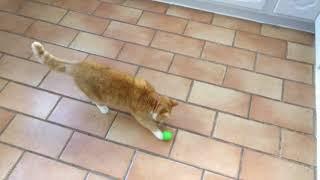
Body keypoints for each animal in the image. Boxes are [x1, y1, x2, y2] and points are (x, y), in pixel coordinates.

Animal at [31, 42, 178, 141]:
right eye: (162, 121)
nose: (162, 124)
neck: (151, 98)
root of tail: (78, 65)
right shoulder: (141, 116)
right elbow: (150, 125)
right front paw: (159, 133)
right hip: (94, 94)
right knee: (96, 101)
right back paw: (103, 108)